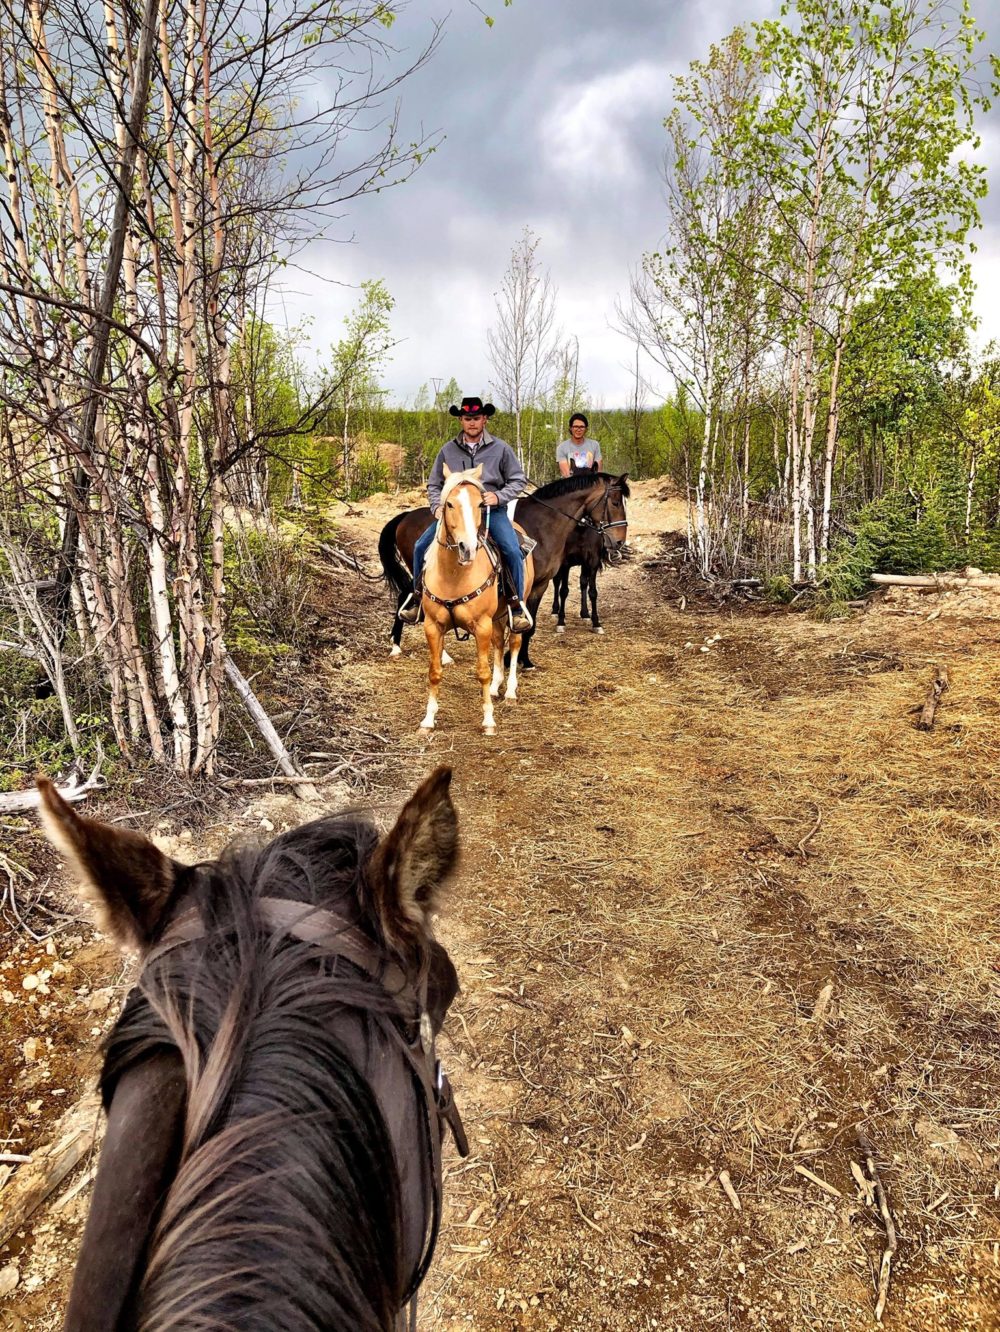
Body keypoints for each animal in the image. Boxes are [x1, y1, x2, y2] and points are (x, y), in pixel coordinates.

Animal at [379, 470, 629, 668]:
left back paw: (401, 645)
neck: (543, 525)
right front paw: (511, 659)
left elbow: (529, 624)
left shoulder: (539, 585)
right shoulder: (529, 585)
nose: (618, 541)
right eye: (616, 503)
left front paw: (524, 660)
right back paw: (410, 649)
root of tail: (406, 516)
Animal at [418, 465, 533, 736]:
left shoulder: (481, 626)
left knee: (513, 643)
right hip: (497, 617)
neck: (454, 575)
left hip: (516, 607)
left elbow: (482, 672)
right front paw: (428, 720)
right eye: (449, 504)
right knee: (499, 643)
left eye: (481, 504)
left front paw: (488, 720)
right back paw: (496, 687)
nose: (467, 548)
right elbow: (434, 672)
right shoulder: (433, 626)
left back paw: (510, 691)